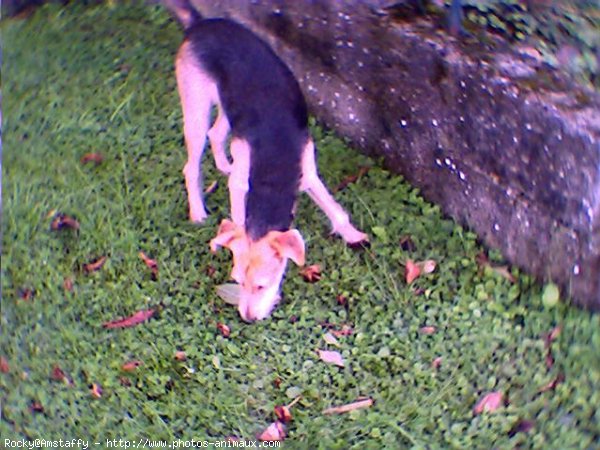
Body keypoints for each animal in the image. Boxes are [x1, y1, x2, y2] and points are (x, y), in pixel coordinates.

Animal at [166, 1, 368, 322]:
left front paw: (353, 236)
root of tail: (199, 24)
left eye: (262, 285)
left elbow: (335, 210)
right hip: (196, 107)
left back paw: (223, 164)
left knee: (217, 134)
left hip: (228, 107)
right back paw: (197, 211)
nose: (247, 318)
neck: (274, 166)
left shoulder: (308, 172)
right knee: (191, 166)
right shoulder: (243, 182)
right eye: (237, 282)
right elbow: (238, 212)